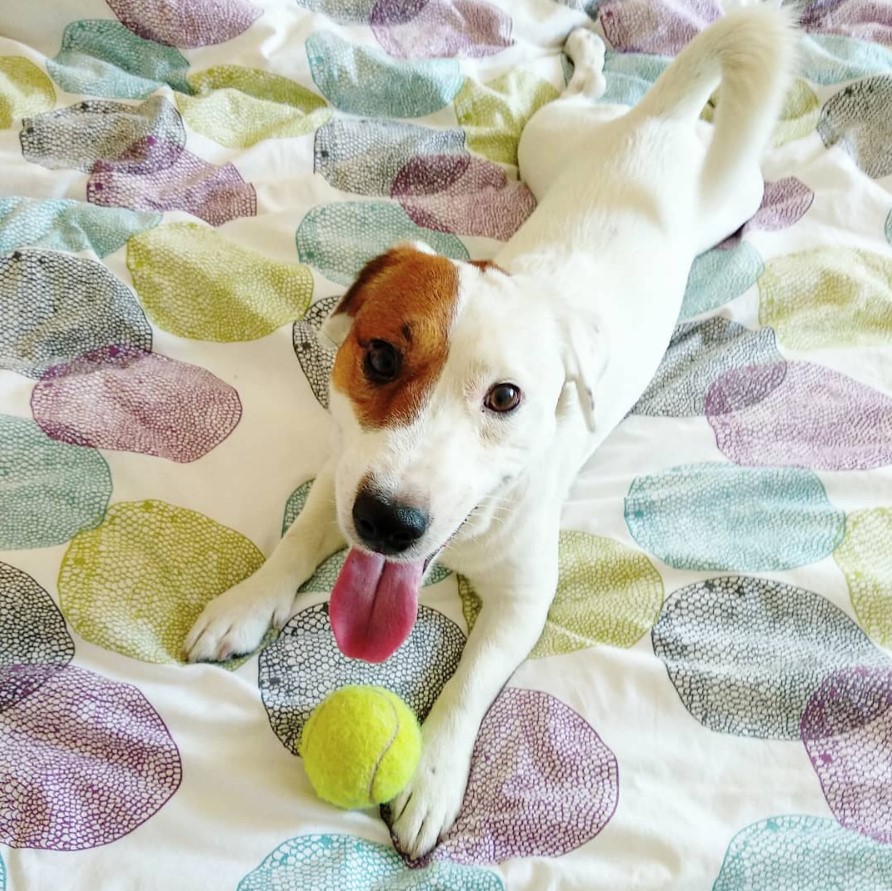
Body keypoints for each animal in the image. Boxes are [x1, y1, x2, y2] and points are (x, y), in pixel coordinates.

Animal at [186, 5, 796, 856]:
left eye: (506, 397)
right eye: (380, 355)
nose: (388, 522)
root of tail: (657, 122)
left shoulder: (524, 597)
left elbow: (472, 677)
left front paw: (435, 773)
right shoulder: (339, 477)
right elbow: (299, 536)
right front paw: (249, 597)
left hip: (733, 190)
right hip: (551, 141)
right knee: (580, 93)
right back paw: (586, 48)